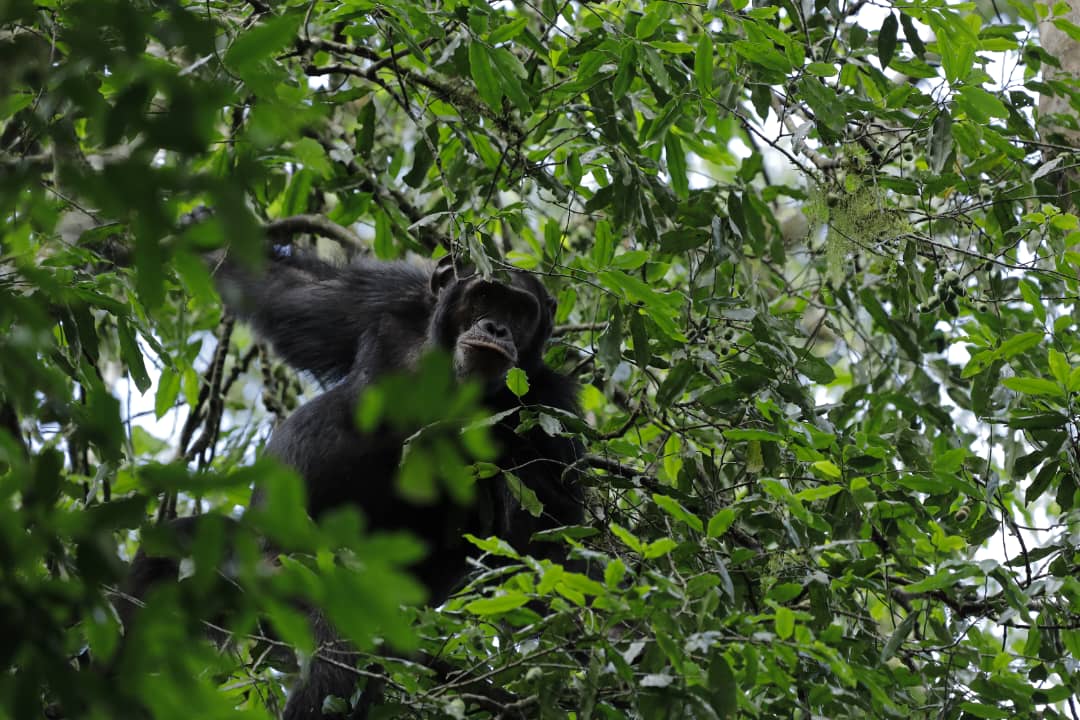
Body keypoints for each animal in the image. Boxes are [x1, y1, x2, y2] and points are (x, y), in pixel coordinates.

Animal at [208, 245, 583, 716]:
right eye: (484, 297)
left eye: (519, 310)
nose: (496, 327)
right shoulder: (383, 298)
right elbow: (286, 286)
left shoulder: (550, 413)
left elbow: (552, 541)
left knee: (341, 651)